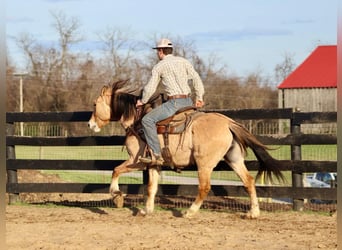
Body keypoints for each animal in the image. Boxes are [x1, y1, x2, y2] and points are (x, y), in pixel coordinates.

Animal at [87, 80, 284, 219]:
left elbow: (115, 170)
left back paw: (190, 212)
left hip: (204, 164)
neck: (137, 121)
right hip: (233, 159)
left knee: (204, 187)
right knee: (248, 181)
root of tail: (228, 122)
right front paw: (146, 210)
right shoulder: (154, 164)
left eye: (95, 104)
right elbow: (151, 188)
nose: (90, 124)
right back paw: (253, 213)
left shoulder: (136, 161)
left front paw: (117, 196)